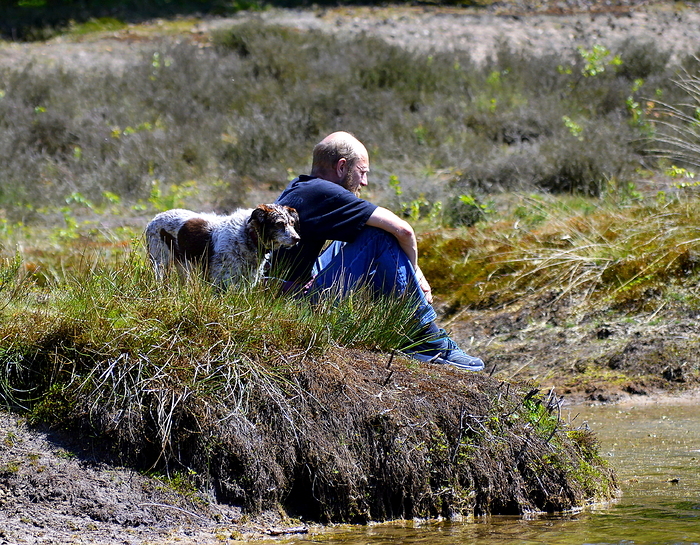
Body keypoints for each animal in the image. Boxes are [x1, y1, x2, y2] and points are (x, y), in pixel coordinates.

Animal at [146, 204, 300, 286]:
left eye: (292, 223)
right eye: (279, 223)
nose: (297, 239)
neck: (247, 235)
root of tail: (155, 218)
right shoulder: (221, 281)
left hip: (183, 266)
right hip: (160, 264)